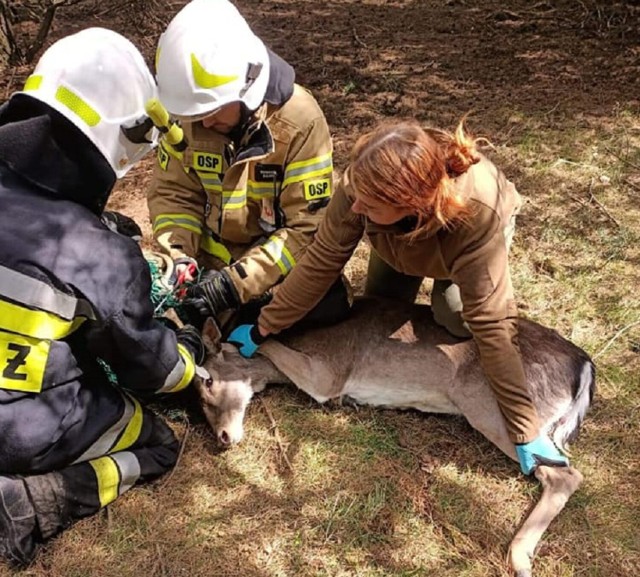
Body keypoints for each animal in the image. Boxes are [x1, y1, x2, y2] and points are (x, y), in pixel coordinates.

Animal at [196, 296, 596, 576]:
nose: (223, 436)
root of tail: (585, 365)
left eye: (207, 381)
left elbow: (270, 346)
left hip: (493, 409)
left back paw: (518, 557)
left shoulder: (328, 373)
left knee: (565, 474)